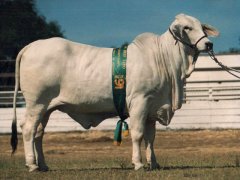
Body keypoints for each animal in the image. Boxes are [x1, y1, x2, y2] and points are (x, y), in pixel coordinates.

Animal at [11, 14, 219, 172]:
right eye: (187, 27)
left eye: (201, 26)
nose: (209, 44)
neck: (165, 61)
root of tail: (31, 46)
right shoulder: (140, 102)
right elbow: (138, 134)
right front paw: (138, 163)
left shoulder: (153, 107)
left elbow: (150, 137)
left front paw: (153, 163)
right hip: (36, 103)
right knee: (28, 129)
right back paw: (32, 165)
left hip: (46, 108)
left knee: (39, 133)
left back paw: (43, 165)